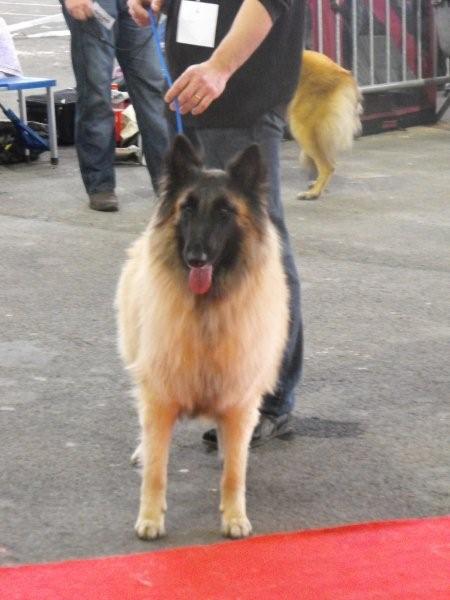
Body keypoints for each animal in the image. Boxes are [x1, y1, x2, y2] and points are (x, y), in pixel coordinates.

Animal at [114, 136, 288, 540]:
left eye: (225, 212)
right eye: (187, 208)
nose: (195, 257)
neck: (206, 311)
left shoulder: (239, 402)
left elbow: (234, 473)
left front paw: (234, 517)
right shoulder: (159, 397)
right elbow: (156, 470)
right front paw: (150, 518)